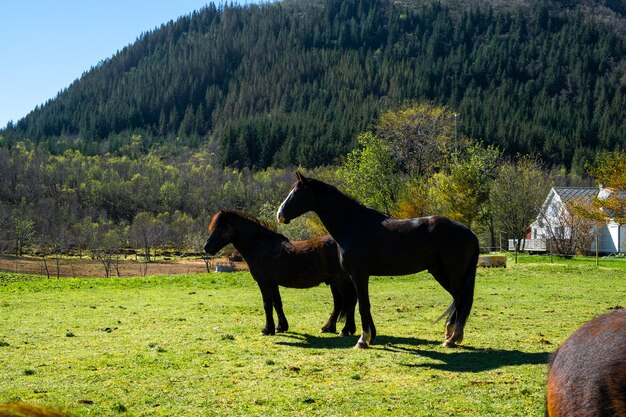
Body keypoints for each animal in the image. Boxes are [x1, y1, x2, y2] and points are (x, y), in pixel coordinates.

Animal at [205, 210, 356, 336]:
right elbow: (277, 303)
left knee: (349, 300)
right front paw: (281, 327)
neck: (262, 246)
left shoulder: (264, 282)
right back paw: (328, 328)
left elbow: (267, 304)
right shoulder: (273, 283)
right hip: (334, 282)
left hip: (340, 281)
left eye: (220, 228)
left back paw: (346, 330)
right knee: (339, 303)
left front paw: (267, 329)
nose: (206, 247)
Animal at [276, 171, 476, 348]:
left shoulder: (359, 274)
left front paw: (363, 340)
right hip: (441, 273)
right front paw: (370, 336)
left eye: (296, 193)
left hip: (454, 274)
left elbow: (363, 305)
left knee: (461, 300)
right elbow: (363, 304)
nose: (280, 215)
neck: (352, 224)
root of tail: (470, 233)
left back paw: (452, 339)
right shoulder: (356, 276)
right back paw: (451, 335)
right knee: (458, 300)